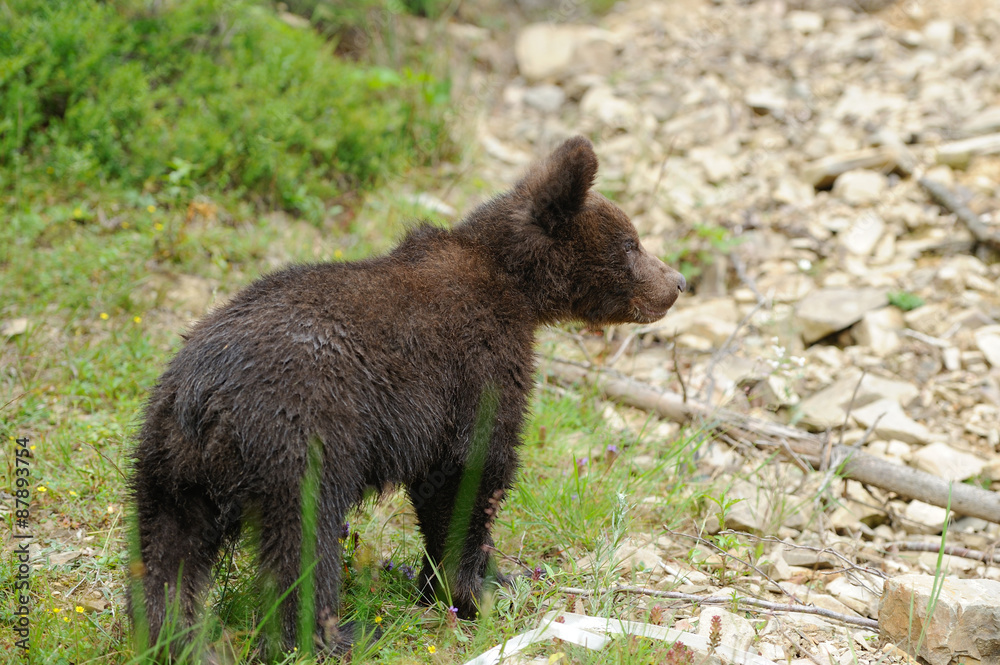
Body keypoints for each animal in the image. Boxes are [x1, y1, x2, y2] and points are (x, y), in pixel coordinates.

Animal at [129, 135, 686, 658]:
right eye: (632, 243)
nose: (677, 282)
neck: (516, 288)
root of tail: (203, 401)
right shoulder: (473, 368)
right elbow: (472, 471)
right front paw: (478, 588)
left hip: (165, 464)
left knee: (166, 554)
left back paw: (169, 636)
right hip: (301, 441)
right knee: (303, 542)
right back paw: (336, 635)